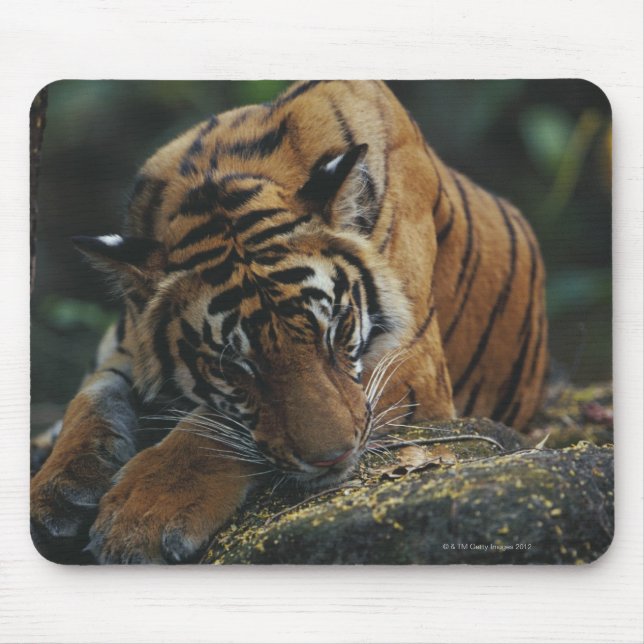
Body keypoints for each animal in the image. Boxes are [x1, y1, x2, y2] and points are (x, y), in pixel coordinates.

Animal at [30, 80, 548, 564]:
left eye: (335, 331)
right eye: (234, 367)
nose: (334, 458)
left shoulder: (413, 361)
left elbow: (210, 426)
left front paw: (140, 514)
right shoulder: (127, 340)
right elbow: (90, 397)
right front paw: (55, 491)